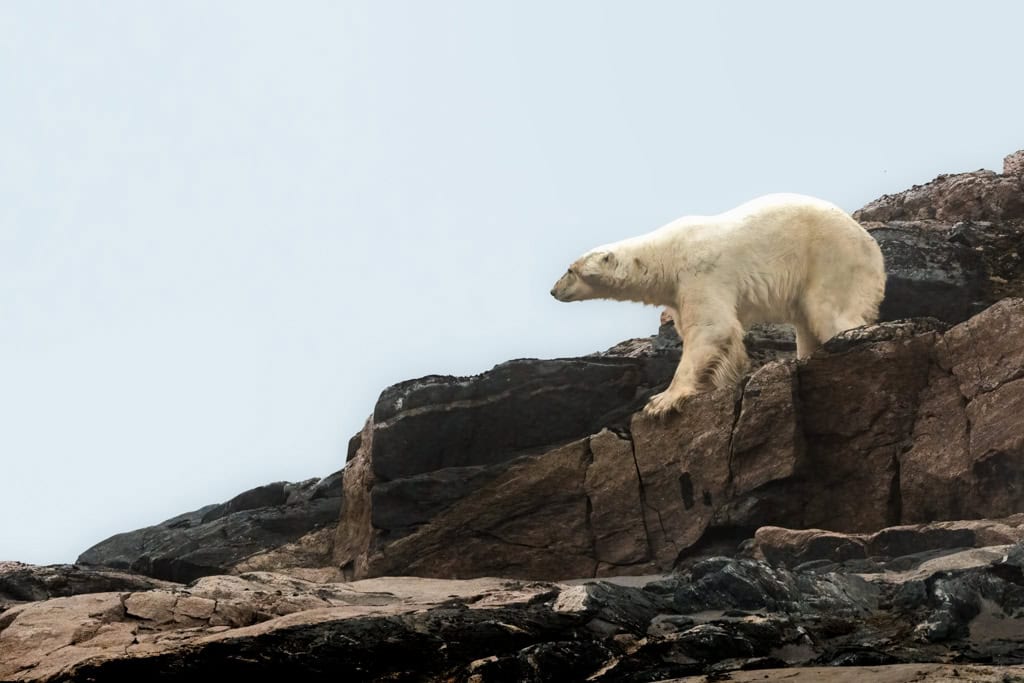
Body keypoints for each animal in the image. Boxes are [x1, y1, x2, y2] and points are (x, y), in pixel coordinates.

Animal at [550, 193, 887, 416]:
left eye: (570, 270)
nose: (553, 290)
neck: (666, 254)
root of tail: (872, 245)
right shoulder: (677, 292)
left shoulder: (699, 272)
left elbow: (712, 328)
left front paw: (661, 401)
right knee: (806, 322)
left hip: (831, 257)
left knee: (830, 311)